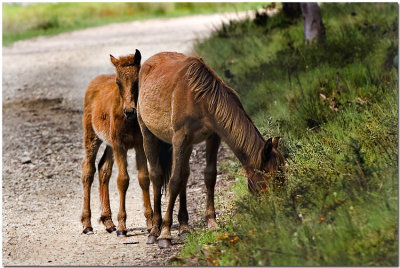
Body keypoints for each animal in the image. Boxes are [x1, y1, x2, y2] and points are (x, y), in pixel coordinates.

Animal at [80, 49, 153, 237]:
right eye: (118, 83)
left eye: (137, 81)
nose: (129, 110)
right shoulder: (120, 145)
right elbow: (123, 180)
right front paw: (122, 226)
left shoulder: (139, 145)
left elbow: (144, 178)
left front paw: (150, 223)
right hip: (92, 136)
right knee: (88, 170)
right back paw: (87, 224)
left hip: (109, 143)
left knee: (103, 168)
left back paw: (108, 222)